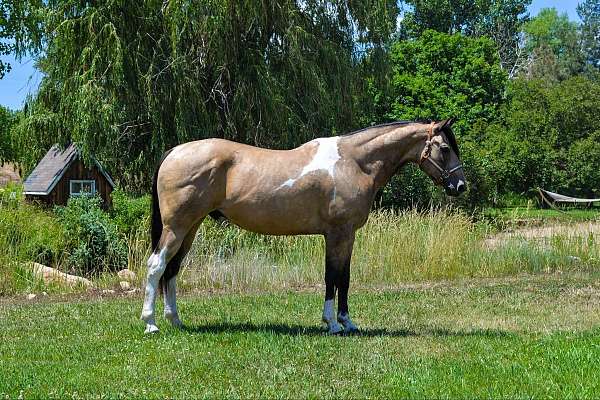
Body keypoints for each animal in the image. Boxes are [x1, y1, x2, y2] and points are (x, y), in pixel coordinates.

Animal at [139, 119, 464, 334]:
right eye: (445, 148)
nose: (460, 185)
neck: (355, 162)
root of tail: (173, 152)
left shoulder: (347, 236)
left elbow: (344, 278)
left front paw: (347, 322)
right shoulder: (337, 233)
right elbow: (332, 277)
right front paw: (332, 323)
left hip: (190, 228)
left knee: (173, 269)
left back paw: (176, 320)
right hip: (176, 227)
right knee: (157, 265)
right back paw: (151, 323)